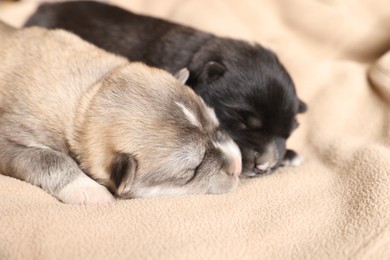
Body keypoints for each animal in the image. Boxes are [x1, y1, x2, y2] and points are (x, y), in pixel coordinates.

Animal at [0, 21, 241, 205]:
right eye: (191, 171)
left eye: (217, 126)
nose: (238, 166)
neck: (89, 97)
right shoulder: (11, 139)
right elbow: (48, 157)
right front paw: (89, 189)